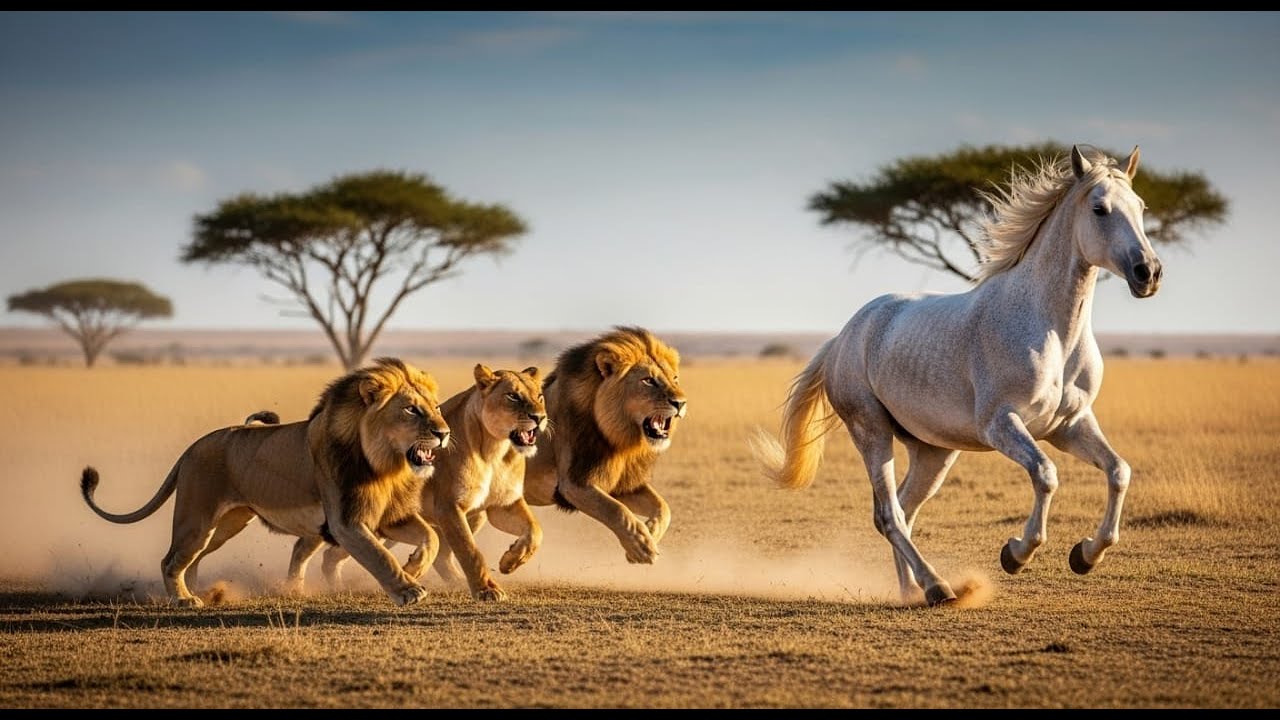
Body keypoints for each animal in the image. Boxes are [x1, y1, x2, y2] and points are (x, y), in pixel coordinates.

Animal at [79, 357, 450, 608]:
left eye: (435, 407)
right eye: (411, 410)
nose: (444, 433)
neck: (386, 465)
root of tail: (193, 447)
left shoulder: (389, 517)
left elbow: (430, 536)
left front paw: (414, 568)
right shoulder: (346, 522)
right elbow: (378, 555)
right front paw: (408, 590)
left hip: (226, 525)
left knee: (192, 559)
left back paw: (200, 591)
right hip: (196, 520)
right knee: (170, 560)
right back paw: (184, 599)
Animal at [321, 364, 548, 601]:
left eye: (540, 396)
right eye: (513, 396)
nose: (540, 417)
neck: (494, 450)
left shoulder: (503, 504)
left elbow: (535, 531)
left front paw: (510, 561)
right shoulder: (448, 507)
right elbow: (470, 551)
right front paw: (486, 590)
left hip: (469, 516)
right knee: (330, 553)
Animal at [523, 326, 687, 564]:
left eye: (674, 378)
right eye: (648, 381)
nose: (681, 403)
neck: (622, 441)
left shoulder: (622, 483)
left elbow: (663, 507)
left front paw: (650, 532)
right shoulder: (574, 483)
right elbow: (616, 510)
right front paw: (641, 546)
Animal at [753, 145, 1162, 606]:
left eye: (1141, 207)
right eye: (1099, 209)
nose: (1149, 273)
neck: (1052, 329)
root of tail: (843, 337)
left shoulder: (1069, 425)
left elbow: (1119, 471)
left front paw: (1086, 555)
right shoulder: (1001, 424)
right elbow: (1046, 475)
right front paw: (1016, 554)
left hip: (933, 451)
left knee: (903, 511)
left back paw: (912, 591)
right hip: (871, 431)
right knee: (889, 513)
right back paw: (938, 587)